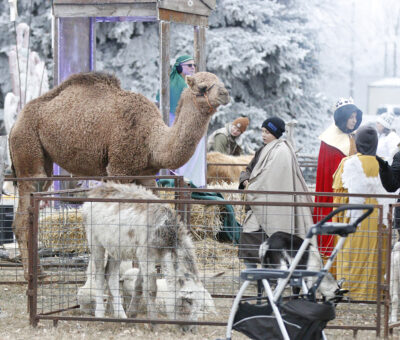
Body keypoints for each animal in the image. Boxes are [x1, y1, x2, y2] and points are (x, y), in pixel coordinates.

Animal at [9, 69, 230, 278]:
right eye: (202, 87)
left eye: (219, 81)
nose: (225, 93)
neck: (151, 139)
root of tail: (15, 123)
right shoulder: (118, 168)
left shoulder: (147, 176)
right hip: (28, 150)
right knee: (22, 216)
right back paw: (32, 274)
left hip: (44, 163)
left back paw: (39, 272)